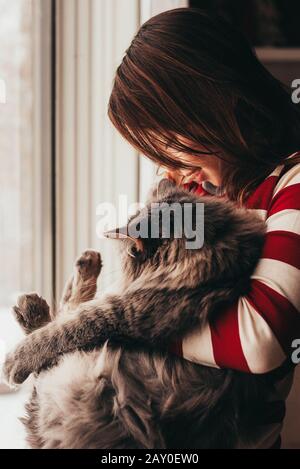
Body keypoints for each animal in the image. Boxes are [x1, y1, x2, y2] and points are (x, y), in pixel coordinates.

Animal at [2, 178, 274, 446]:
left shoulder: (123, 313)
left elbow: (59, 332)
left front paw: (12, 362)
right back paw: (85, 263)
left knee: (48, 351)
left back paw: (30, 307)